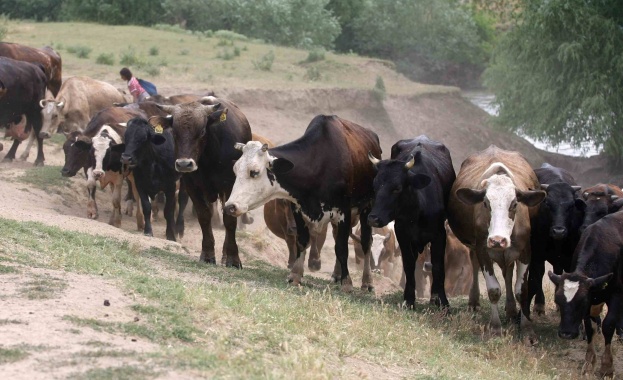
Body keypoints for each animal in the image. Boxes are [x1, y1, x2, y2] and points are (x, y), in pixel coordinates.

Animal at [147, 97, 252, 268]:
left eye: (202, 131)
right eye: (174, 132)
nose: (184, 164)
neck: (209, 158)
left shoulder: (229, 186)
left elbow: (229, 220)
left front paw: (233, 258)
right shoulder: (192, 186)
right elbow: (204, 216)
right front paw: (208, 255)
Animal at [222, 114, 382, 290]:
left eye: (254, 172)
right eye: (235, 170)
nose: (230, 206)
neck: (320, 163)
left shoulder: (344, 213)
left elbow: (341, 248)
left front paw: (347, 283)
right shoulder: (298, 209)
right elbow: (302, 241)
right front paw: (295, 275)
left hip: (367, 209)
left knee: (366, 242)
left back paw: (367, 281)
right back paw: (337, 274)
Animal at [448, 146, 544, 344]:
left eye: (514, 204)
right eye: (486, 203)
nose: (497, 240)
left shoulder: (525, 251)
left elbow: (522, 290)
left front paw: (527, 330)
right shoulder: (483, 249)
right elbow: (493, 289)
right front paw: (495, 328)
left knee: (507, 274)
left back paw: (511, 309)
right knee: (475, 264)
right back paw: (474, 302)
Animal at [528, 163, 584, 314]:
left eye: (571, 205)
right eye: (548, 203)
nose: (559, 231)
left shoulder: (570, 256)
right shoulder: (537, 253)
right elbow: (538, 274)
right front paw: (539, 304)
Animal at [548, 206, 623, 378]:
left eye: (581, 302)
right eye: (557, 300)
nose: (566, 333)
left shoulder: (617, 295)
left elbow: (608, 325)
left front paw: (607, 367)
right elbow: (590, 328)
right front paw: (589, 363)